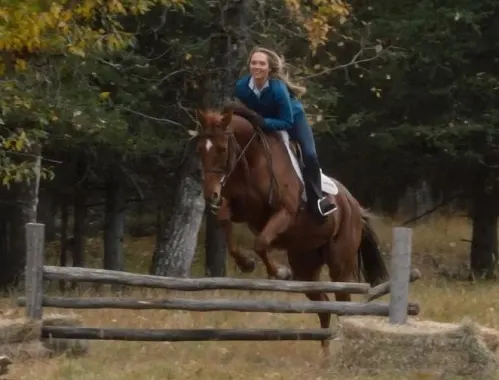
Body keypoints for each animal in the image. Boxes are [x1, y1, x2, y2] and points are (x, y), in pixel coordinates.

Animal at [189, 102, 388, 352]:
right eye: (199, 150)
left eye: (222, 149)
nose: (210, 195)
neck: (250, 160)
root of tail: (355, 206)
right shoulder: (233, 208)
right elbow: (229, 232)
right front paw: (246, 263)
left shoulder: (284, 212)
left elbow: (261, 243)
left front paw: (280, 272)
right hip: (306, 264)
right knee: (324, 307)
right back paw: (325, 353)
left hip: (341, 263)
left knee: (344, 304)